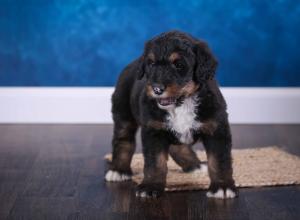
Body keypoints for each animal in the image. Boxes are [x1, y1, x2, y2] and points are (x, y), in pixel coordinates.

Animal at [105, 30, 237, 199]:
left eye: (179, 65)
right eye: (151, 63)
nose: (157, 89)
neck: (181, 103)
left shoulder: (216, 129)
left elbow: (219, 161)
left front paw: (222, 187)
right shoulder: (154, 130)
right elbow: (155, 163)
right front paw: (150, 186)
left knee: (177, 146)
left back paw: (194, 166)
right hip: (123, 113)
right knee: (123, 141)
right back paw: (118, 170)